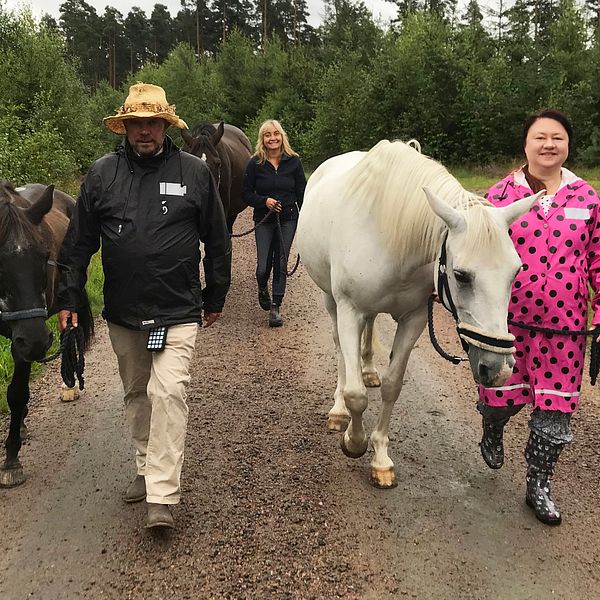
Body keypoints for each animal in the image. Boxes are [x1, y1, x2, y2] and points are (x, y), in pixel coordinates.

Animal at [0, 182, 92, 488]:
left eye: (43, 257)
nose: (37, 341)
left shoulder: (21, 343)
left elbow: (17, 393)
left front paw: (11, 460)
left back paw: (68, 387)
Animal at [298, 141, 540, 488]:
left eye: (516, 272)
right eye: (461, 275)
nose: (499, 369)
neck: (392, 238)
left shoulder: (413, 319)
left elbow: (392, 386)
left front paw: (381, 458)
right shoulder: (349, 309)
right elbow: (357, 394)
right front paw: (354, 441)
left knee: (370, 329)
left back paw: (368, 369)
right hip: (331, 302)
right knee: (340, 351)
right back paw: (339, 411)